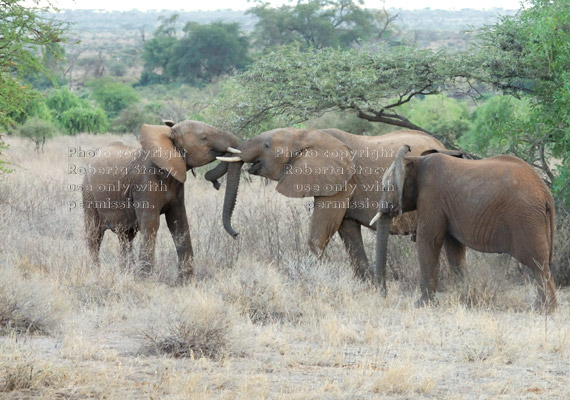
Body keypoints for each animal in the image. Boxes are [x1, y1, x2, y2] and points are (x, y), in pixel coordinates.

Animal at [81, 119, 237, 282]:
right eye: (204, 138)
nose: (217, 184)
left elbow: (179, 223)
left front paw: (185, 282)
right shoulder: (144, 184)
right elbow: (151, 223)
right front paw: (144, 281)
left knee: (125, 237)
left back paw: (125, 274)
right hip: (88, 193)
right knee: (94, 234)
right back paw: (95, 273)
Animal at [211, 126, 446, 280]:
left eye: (267, 145)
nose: (236, 234)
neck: (305, 134)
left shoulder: (341, 182)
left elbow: (323, 229)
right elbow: (348, 233)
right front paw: (367, 285)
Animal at [368, 147, 556, 312]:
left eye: (385, 188)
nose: (384, 294)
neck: (416, 160)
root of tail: (546, 192)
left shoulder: (431, 198)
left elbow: (427, 241)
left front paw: (422, 304)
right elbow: (454, 251)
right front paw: (467, 299)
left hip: (526, 218)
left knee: (538, 264)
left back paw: (544, 310)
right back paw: (543, 307)